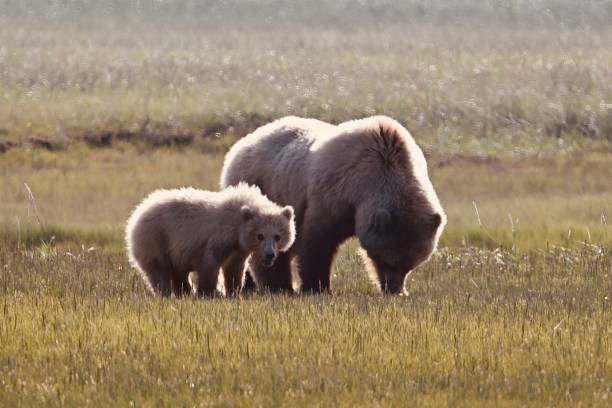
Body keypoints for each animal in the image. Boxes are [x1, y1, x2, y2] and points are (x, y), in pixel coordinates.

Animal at [220, 116, 444, 294]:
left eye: (411, 265)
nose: (394, 290)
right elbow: (318, 241)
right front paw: (317, 287)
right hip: (264, 185)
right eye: (387, 260)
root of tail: (241, 144)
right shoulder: (333, 193)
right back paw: (279, 286)